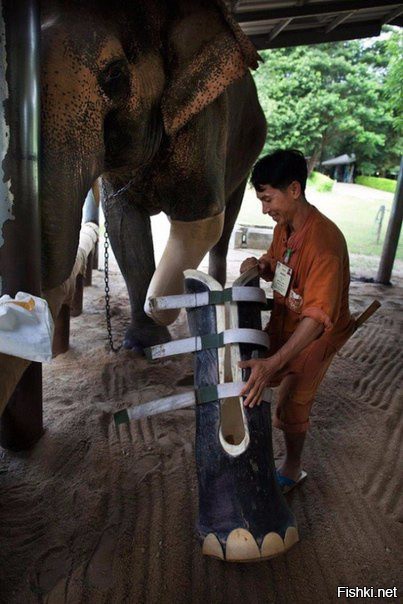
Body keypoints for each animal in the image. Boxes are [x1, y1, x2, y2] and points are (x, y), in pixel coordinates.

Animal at [39, 0, 268, 352]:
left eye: (114, 73)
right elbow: (124, 225)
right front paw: (141, 344)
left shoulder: (206, 115)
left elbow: (201, 218)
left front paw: (166, 305)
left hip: (248, 150)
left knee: (226, 222)